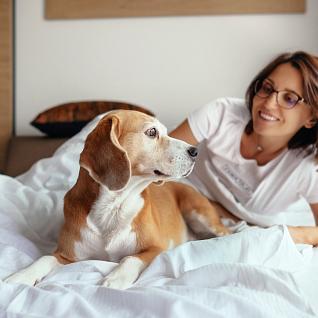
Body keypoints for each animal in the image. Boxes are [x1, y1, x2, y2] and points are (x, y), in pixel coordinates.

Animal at [4, 110, 229, 290]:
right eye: (152, 132)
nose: (195, 151)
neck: (113, 205)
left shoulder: (156, 248)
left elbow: (130, 258)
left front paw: (115, 279)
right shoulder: (65, 255)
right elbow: (43, 258)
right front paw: (21, 276)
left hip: (199, 214)